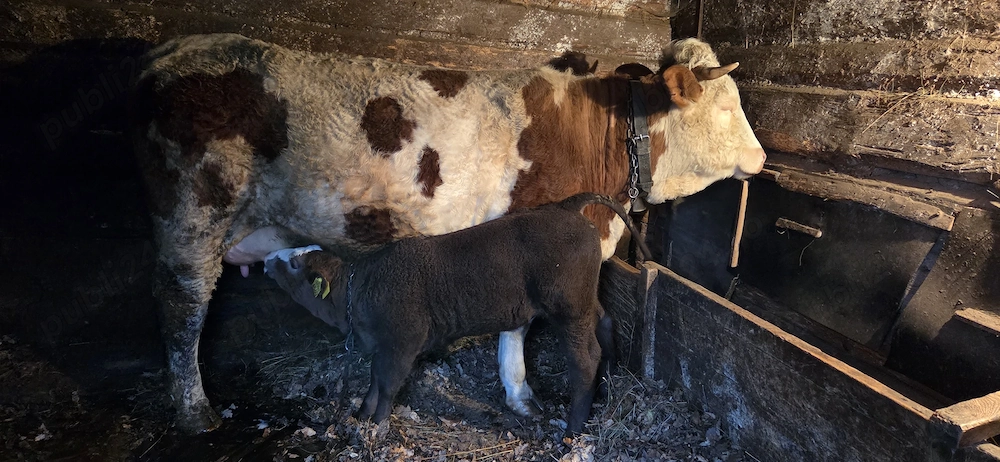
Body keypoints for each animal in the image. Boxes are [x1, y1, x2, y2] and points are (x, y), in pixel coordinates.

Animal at [262, 193, 650, 437]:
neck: (360, 289)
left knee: (584, 358)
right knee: (605, 320)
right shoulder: (381, 345)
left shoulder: (403, 341)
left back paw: (573, 429)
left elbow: (387, 384)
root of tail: (567, 208)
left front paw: (377, 425)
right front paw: (361, 415)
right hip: (583, 298)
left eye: (295, 264)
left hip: (567, 306)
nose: (266, 259)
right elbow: (373, 380)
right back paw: (608, 380)